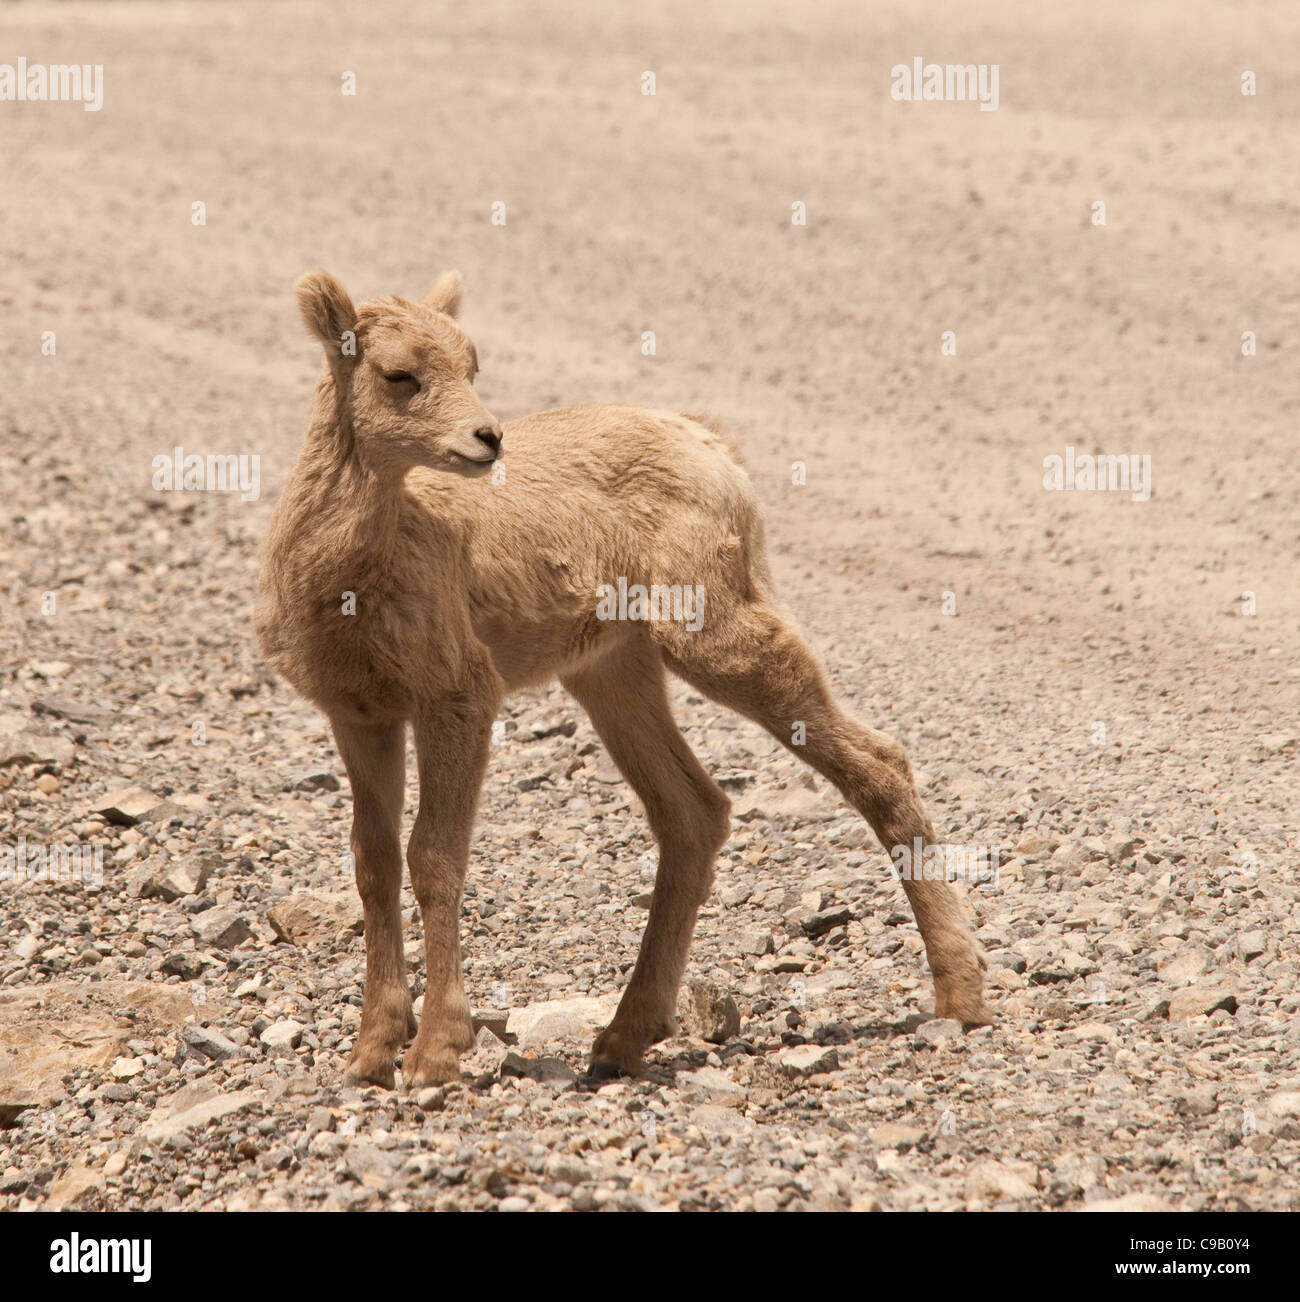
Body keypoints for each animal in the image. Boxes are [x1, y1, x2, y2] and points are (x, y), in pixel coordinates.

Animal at [256, 266, 995, 1088]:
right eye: (398, 375)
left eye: (472, 367)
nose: (487, 439)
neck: (353, 581)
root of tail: (715, 447)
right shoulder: (360, 714)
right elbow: (374, 863)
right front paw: (368, 1054)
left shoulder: (458, 697)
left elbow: (434, 857)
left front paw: (434, 1056)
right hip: (614, 671)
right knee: (693, 812)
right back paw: (622, 1037)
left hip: (714, 634)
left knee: (877, 761)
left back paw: (961, 998)